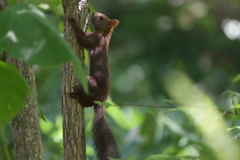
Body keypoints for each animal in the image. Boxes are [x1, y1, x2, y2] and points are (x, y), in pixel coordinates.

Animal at [68, 11, 121, 160]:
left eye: (101, 17)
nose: (93, 12)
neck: (104, 34)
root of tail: (102, 100)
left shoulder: (94, 39)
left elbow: (82, 39)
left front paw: (73, 22)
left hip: (89, 83)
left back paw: (78, 94)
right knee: (88, 104)